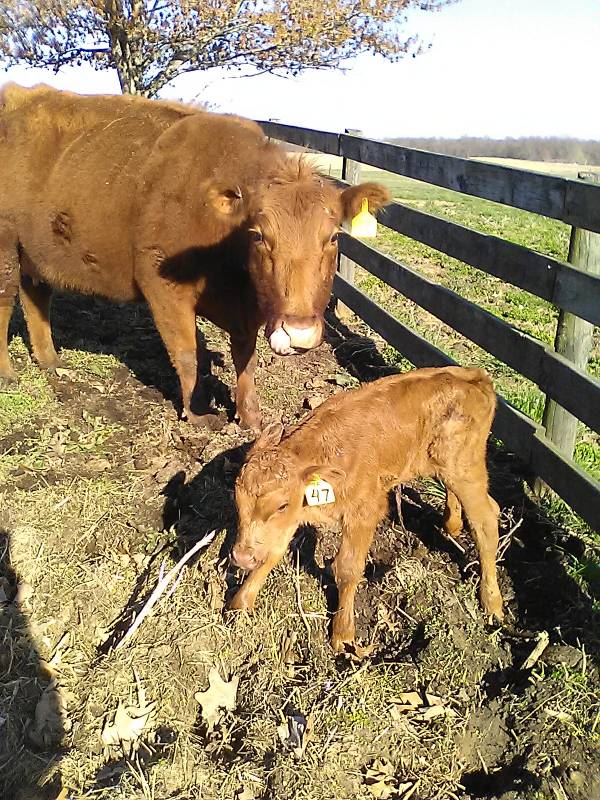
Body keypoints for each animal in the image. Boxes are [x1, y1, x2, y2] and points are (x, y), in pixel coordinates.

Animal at [0, 83, 390, 428]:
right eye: (259, 236)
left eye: (334, 236)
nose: (298, 332)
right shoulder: (161, 285)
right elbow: (187, 353)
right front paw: (198, 413)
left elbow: (245, 357)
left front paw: (249, 416)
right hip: (4, 248)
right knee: (5, 304)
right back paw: (8, 373)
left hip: (32, 249)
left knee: (36, 297)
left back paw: (50, 360)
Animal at [230, 366, 502, 652]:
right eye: (237, 498)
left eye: (281, 504)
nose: (241, 558)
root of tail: (473, 376)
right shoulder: (294, 514)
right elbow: (273, 551)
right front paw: (241, 603)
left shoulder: (364, 511)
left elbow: (347, 569)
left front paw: (343, 634)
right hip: (447, 466)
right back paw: (452, 523)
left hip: (465, 469)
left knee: (486, 520)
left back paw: (492, 603)